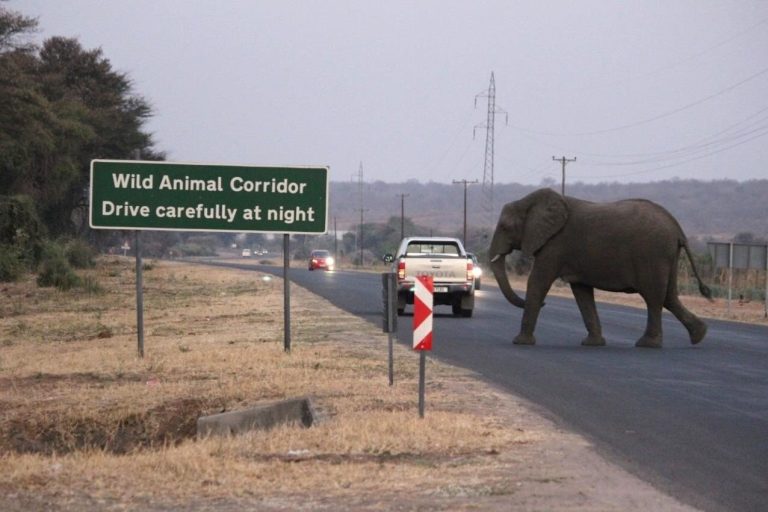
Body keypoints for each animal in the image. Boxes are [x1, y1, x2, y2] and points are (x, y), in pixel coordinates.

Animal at [488, 188, 712, 348]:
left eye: (505, 227)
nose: (546, 305)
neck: (528, 202)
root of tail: (677, 228)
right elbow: (582, 293)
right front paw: (592, 344)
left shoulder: (554, 245)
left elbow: (538, 282)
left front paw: (520, 342)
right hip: (668, 255)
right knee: (669, 296)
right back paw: (699, 335)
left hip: (653, 253)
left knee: (654, 297)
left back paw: (647, 344)